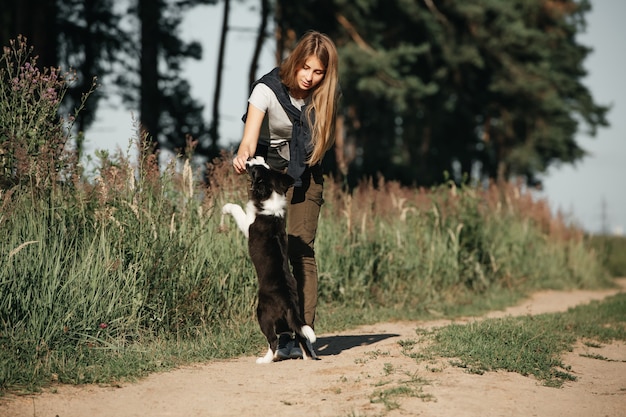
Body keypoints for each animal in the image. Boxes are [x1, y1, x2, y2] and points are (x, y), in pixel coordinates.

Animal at [221, 158, 316, 362]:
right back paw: (307, 356)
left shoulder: (248, 225)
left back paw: (265, 360)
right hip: (293, 319)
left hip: (262, 313)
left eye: (254, 170)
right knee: (301, 336)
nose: (250, 158)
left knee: (273, 339)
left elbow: (237, 208)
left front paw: (225, 208)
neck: (271, 192)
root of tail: (289, 303)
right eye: (263, 163)